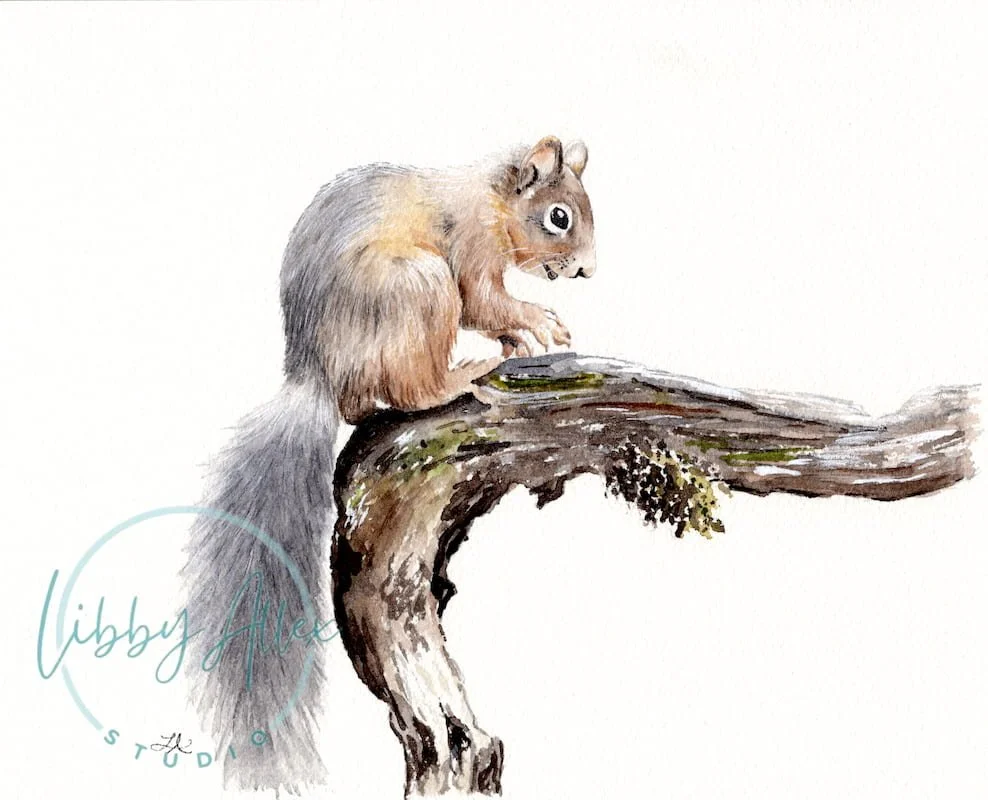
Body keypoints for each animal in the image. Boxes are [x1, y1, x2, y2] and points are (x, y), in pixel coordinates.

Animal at [182, 135, 596, 793]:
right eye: (559, 217)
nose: (586, 270)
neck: (492, 198)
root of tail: (320, 376)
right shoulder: (470, 247)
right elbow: (486, 301)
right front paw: (537, 322)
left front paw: (521, 337)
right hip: (417, 287)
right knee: (410, 388)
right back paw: (460, 376)